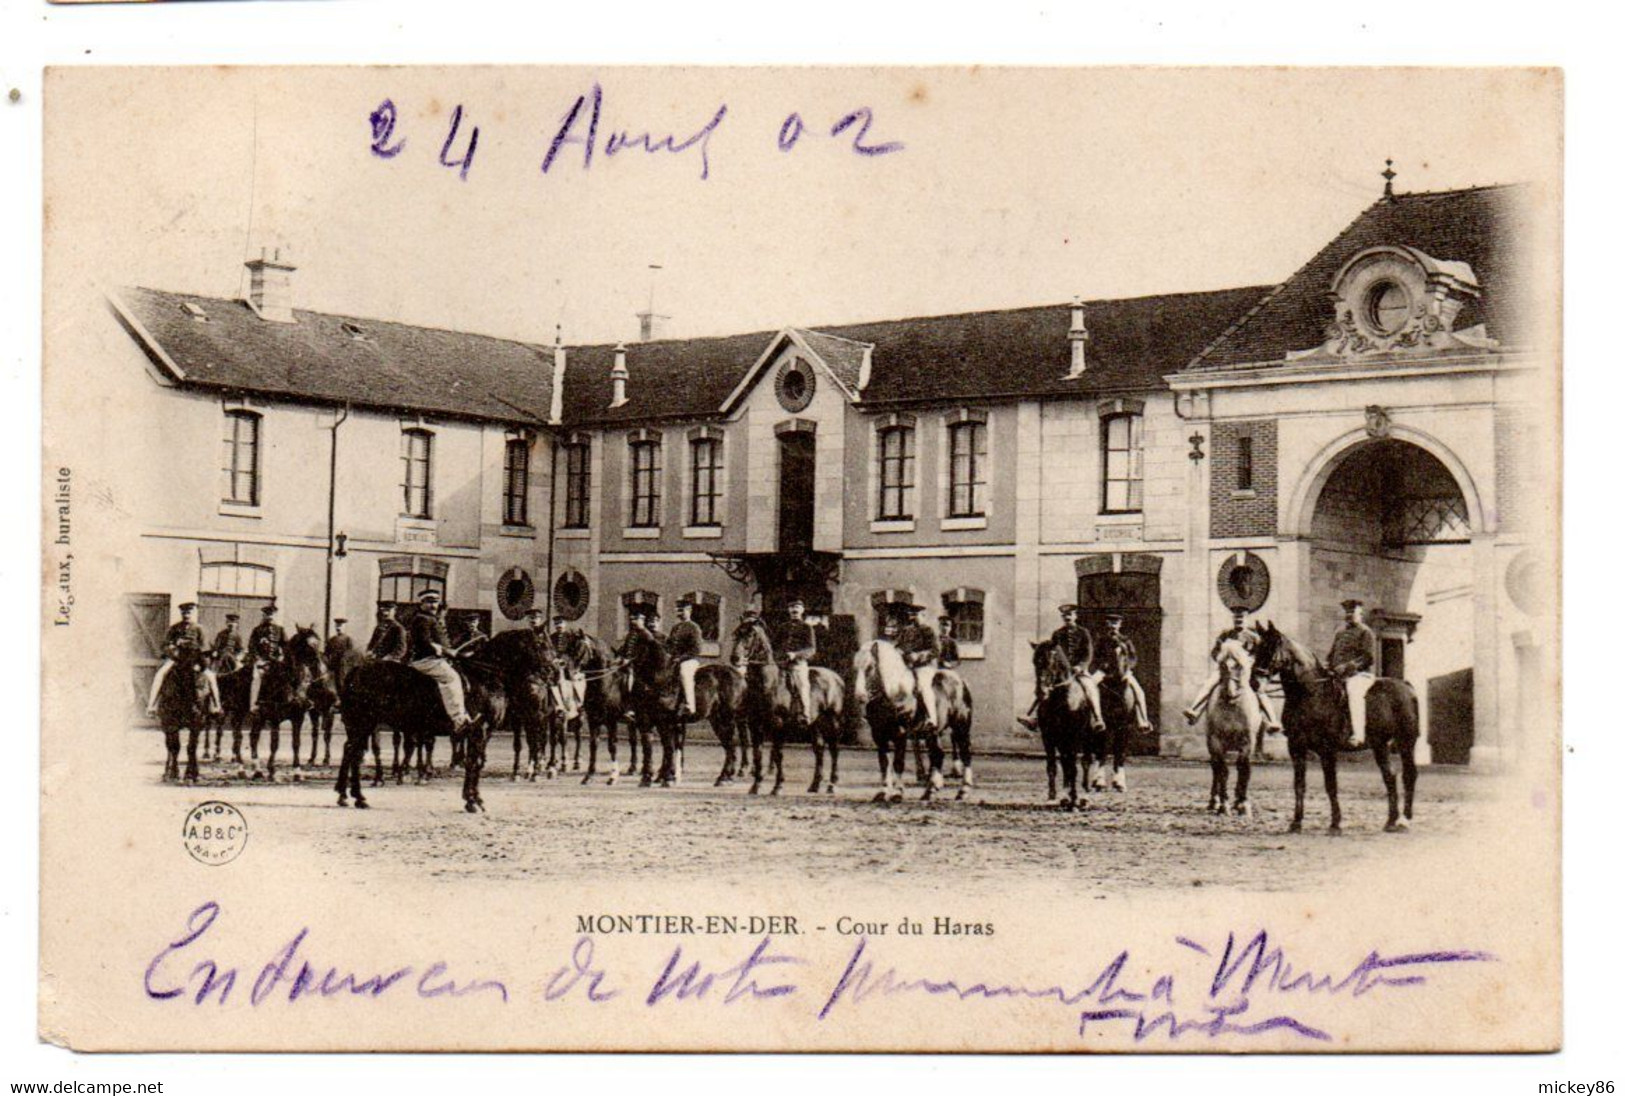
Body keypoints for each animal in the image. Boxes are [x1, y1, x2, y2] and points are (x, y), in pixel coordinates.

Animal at [1248, 624, 1417, 829]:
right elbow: (1299, 785)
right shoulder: (1296, 747)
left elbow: (1331, 785)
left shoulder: (1327, 749)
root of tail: (1406, 686)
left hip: (1406, 742)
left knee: (1409, 775)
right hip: (1380, 745)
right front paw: (1296, 822)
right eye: (1256, 649)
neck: (1310, 693)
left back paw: (1405, 819)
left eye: (1271, 648)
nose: (1254, 682)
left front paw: (1335, 822)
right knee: (1390, 776)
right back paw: (1391, 820)